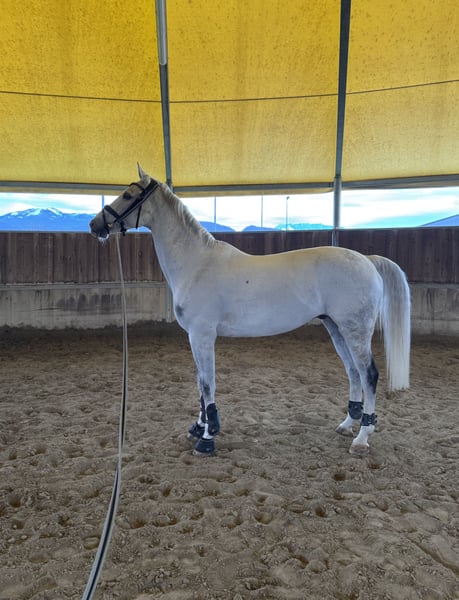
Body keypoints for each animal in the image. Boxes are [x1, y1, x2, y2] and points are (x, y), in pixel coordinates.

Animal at [90, 165, 411, 456]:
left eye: (128, 194)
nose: (95, 226)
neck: (197, 263)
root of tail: (367, 260)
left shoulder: (202, 335)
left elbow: (207, 384)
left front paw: (207, 439)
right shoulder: (195, 337)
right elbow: (200, 382)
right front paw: (198, 428)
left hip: (355, 330)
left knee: (368, 374)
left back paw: (362, 438)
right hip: (335, 327)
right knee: (353, 372)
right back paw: (347, 425)